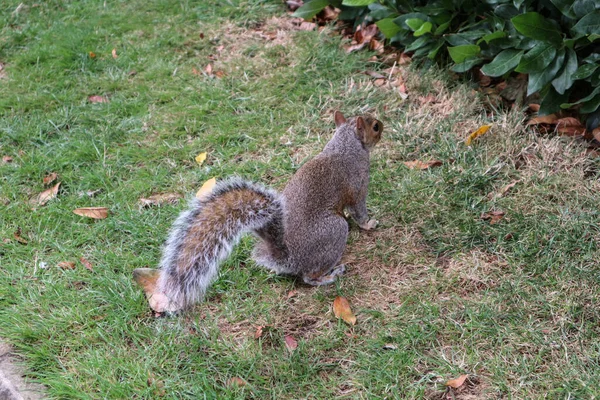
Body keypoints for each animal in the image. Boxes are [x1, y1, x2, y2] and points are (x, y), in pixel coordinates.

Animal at [134, 111, 382, 312]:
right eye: (375, 127)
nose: (383, 125)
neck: (344, 144)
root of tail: (289, 258)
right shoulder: (358, 183)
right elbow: (359, 209)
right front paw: (369, 224)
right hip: (334, 231)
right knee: (309, 277)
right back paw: (329, 276)